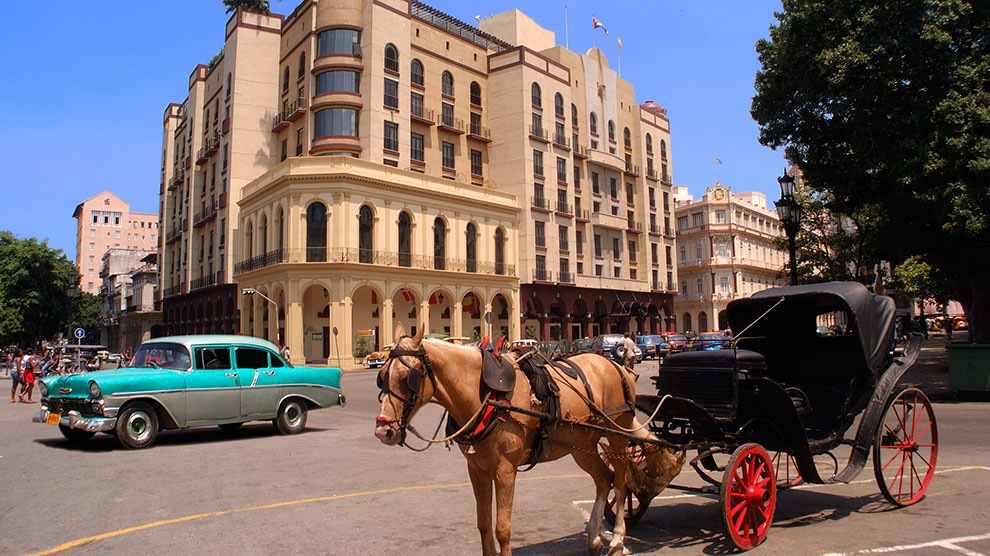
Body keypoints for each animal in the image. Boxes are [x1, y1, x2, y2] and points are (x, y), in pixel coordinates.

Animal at [376, 322, 648, 556]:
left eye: (409, 378)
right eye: (382, 376)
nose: (383, 431)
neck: (486, 396)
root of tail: (616, 366)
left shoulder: (506, 470)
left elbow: (502, 530)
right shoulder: (476, 469)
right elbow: (484, 525)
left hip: (617, 436)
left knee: (621, 481)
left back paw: (617, 539)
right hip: (582, 445)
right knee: (604, 478)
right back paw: (594, 538)